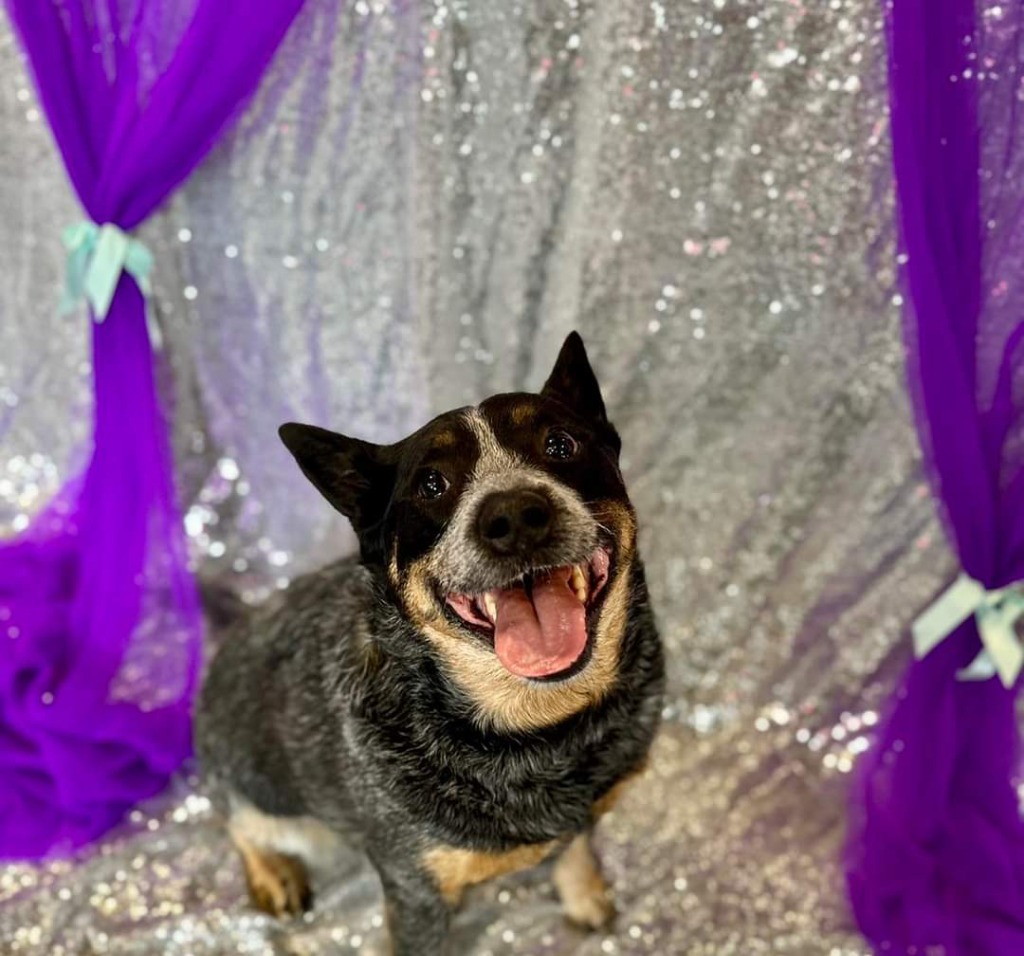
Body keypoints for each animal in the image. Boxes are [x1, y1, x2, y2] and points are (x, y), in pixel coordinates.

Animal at [195, 333, 667, 953]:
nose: (515, 516)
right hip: (269, 797)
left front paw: (584, 894)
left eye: (560, 444)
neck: (541, 733)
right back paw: (273, 873)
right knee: (237, 822)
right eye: (432, 484)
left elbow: (577, 844)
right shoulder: (414, 885)